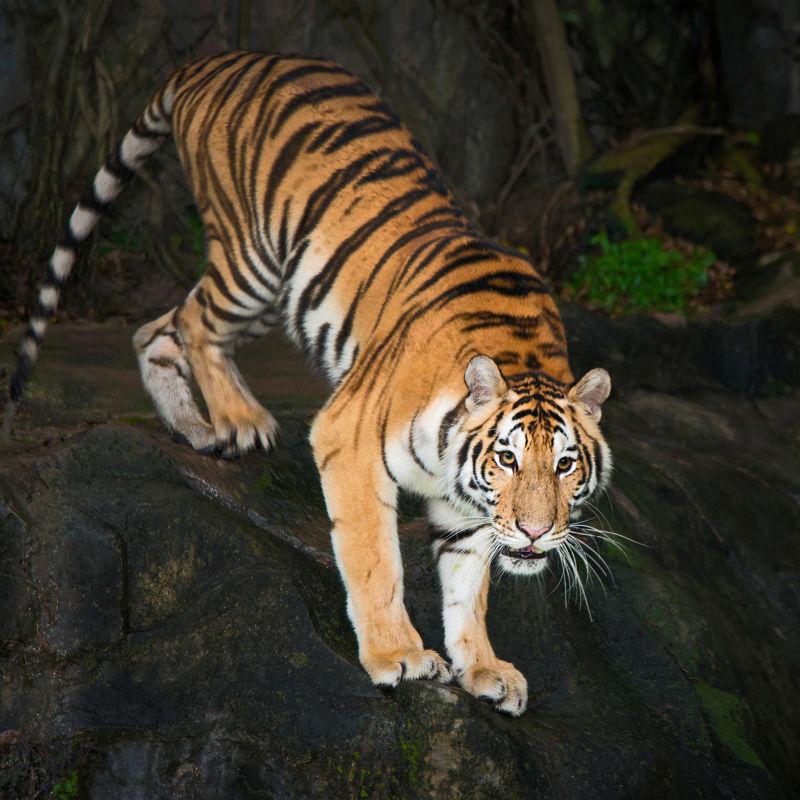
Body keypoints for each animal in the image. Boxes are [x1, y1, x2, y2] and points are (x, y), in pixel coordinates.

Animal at [4, 51, 612, 712]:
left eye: (565, 465)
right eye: (507, 459)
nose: (536, 531)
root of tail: (216, 60)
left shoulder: (466, 508)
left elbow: (467, 586)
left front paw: (482, 669)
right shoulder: (350, 440)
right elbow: (376, 560)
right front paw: (397, 656)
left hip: (271, 289)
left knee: (152, 329)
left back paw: (198, 428)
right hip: (253, 262)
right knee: (193, 323)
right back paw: (240, 423)